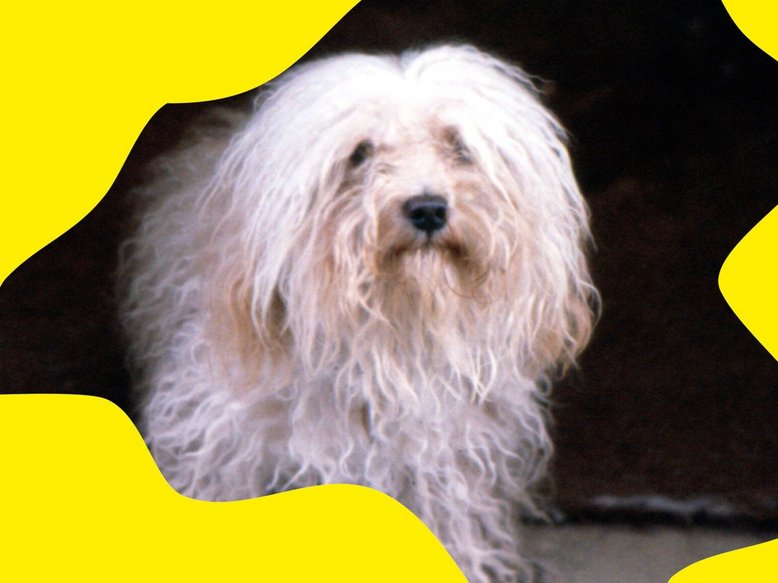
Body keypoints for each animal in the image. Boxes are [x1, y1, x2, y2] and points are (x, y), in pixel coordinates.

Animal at [119, 44, 597, 582]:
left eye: (459, 147)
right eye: (361, 153)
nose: (428, 208)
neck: (383, 345)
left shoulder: (445, 473)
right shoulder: (226, 450)